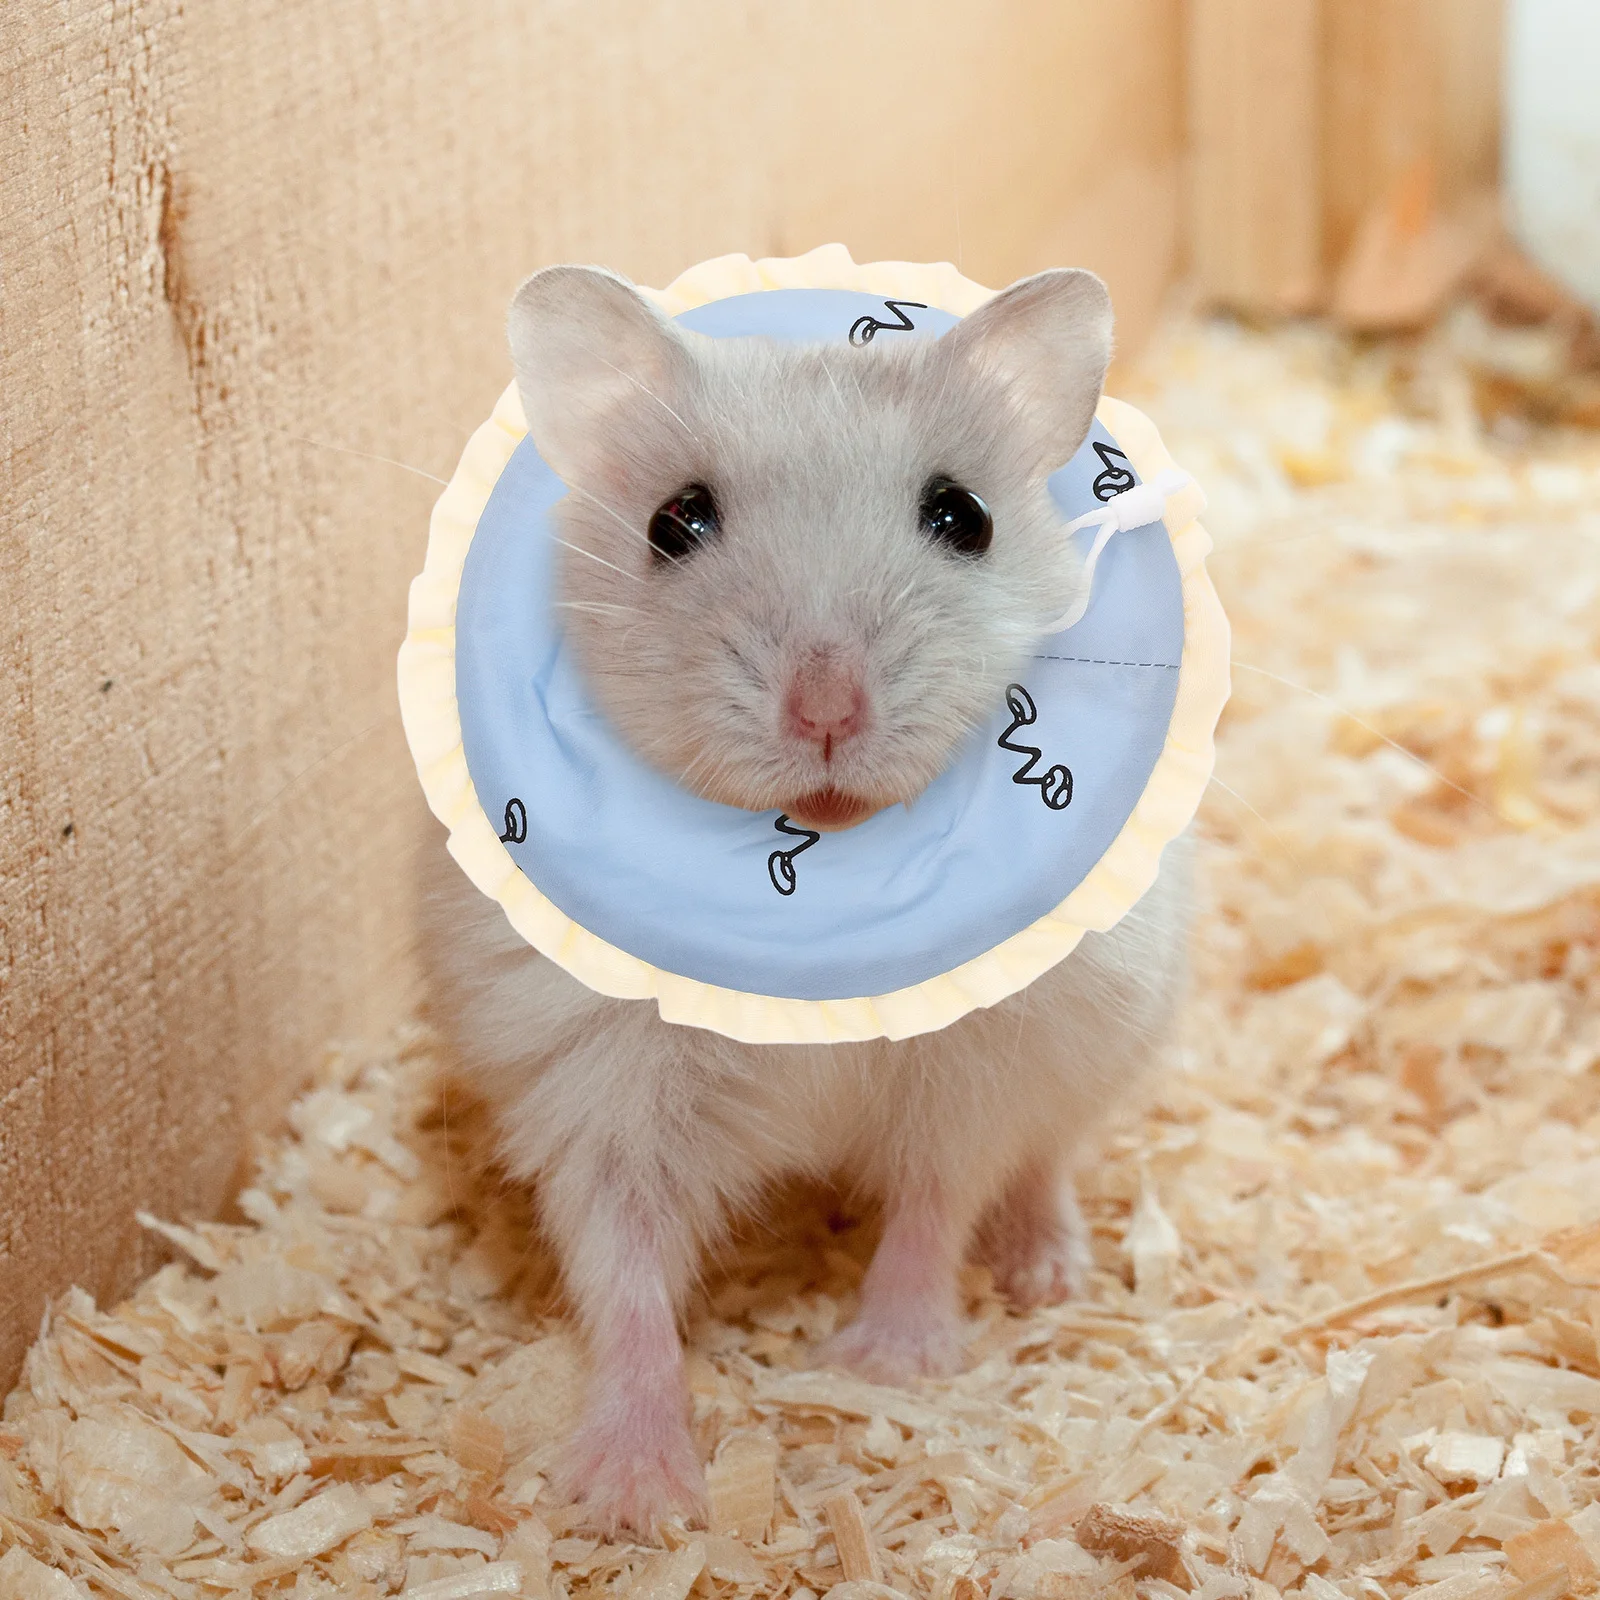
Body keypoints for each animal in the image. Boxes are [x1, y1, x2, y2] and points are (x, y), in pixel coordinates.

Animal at [419, 264, 1193, 1536]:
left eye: (962, 517)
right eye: (673, 523)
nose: (826, 709)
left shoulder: (972, 1071)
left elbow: (935, 1200)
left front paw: (887, 1366)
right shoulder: (601, 1097)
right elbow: (624, 1277)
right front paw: (636, 1502)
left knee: (1044, 1159)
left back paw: (1046, 1272)